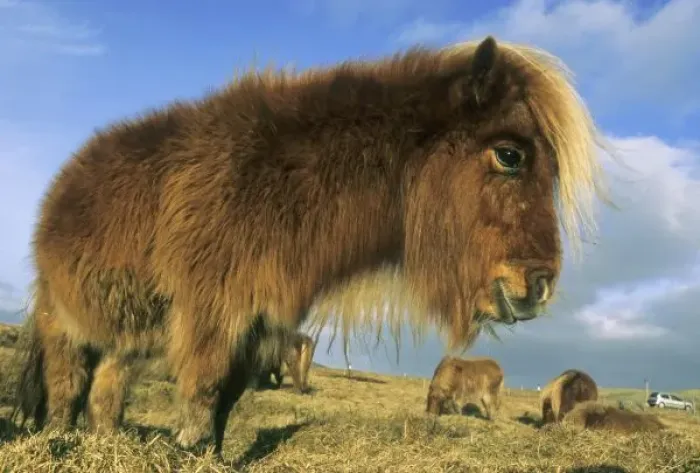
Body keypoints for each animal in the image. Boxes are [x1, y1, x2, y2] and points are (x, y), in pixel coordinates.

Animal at [12, 35, 607, 455]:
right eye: (510, 155)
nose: (539, 287)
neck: (280, 183)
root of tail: (63, 183)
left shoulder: (258, 325)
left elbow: (227, 401)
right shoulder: (212, 314)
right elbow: (203, 394)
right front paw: (189, 452)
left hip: (128, 334)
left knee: (106, 389)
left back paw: (102, 443)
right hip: (65, 321)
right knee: (66, 384)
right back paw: (60, 441)